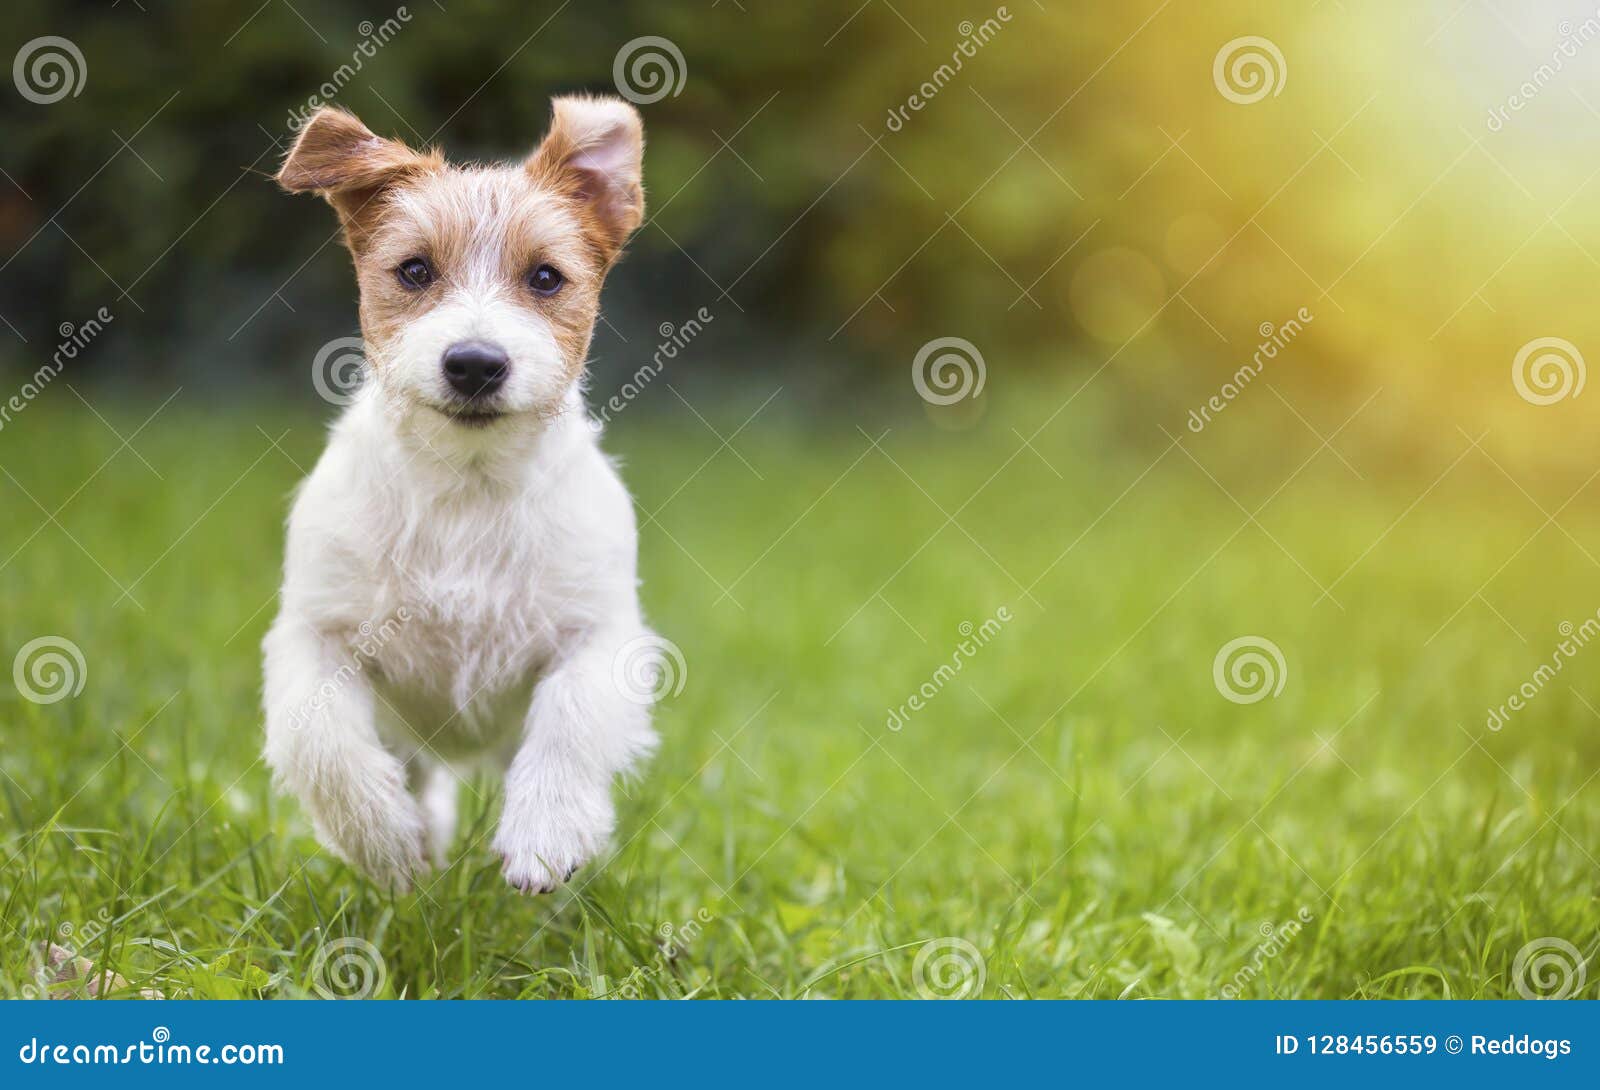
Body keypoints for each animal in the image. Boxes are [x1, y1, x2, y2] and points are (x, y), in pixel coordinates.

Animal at [260, 95, 656, 889]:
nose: (475, 363)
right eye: (414, 270)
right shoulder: (316, 635)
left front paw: (545, 834)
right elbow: (325, 745)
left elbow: (570, 719)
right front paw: (387, 844)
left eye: (545, 278)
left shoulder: (597, 635)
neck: (467, 484)